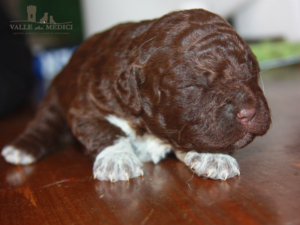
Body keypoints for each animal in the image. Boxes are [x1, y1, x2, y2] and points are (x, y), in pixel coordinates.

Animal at [1, 9, 270, 181]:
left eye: (253, 72)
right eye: (192, 87)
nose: (249, 112)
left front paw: (213, 156)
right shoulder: (85, 107)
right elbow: (106, 130)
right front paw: (117, 159)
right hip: (56, 96)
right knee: (44, 122)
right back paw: (22, 149)